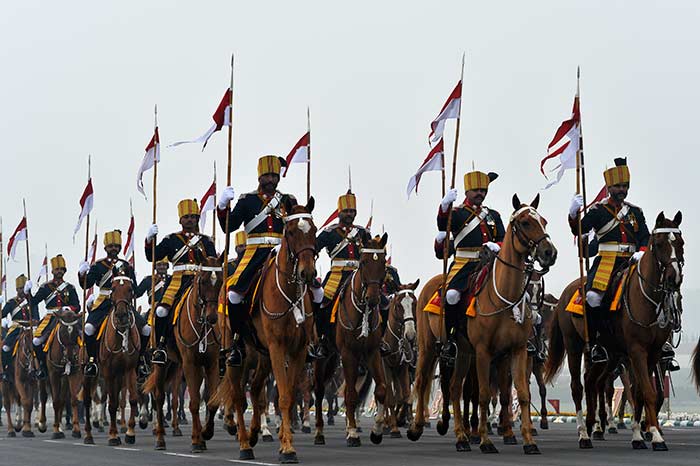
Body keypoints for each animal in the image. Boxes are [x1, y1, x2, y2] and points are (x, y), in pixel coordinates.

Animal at [82, 264, 140, 446]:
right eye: (113, 288)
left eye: (130, 289)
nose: (121, 316)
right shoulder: (108, 371)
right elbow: (112, 403)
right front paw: (113, 436)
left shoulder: (129, 369)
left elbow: (132, 399)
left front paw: (130, 433)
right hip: (90, 374)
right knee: (87, 400)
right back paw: (88, 434)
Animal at [334, 233, 388, 448]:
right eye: (363, 262)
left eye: (382, 262)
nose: (373, 299)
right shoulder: (348, 354)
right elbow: (350, 395)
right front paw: (352, 433)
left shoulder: (372, 353)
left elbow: (381, 390)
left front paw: (377, 431)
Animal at [470, 195, 556, 454]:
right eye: (526, 222)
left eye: (544, 221)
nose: (549, 252)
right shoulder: (482, 352)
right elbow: (483, 395)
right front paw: (485, 440)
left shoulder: (518, 351)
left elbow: (523, 393)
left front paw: (529, 439)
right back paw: (472, 432)